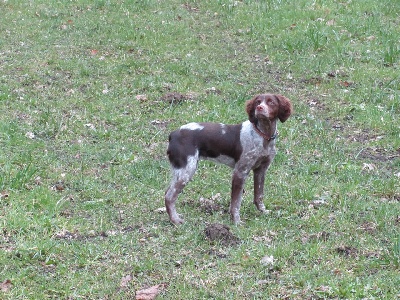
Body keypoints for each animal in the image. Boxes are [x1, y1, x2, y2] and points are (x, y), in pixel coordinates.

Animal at [164, 95, 292, 224]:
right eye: (258, 102)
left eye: (271, 102)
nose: (259, 108)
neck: (263, 136)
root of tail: (173, 134)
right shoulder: (240, 172)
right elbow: (236, 202)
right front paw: (236, 221)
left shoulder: (261, 170)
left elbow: (259, 195)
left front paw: (263, 211)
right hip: (186, 170)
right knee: (169, 196)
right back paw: (175, 220)